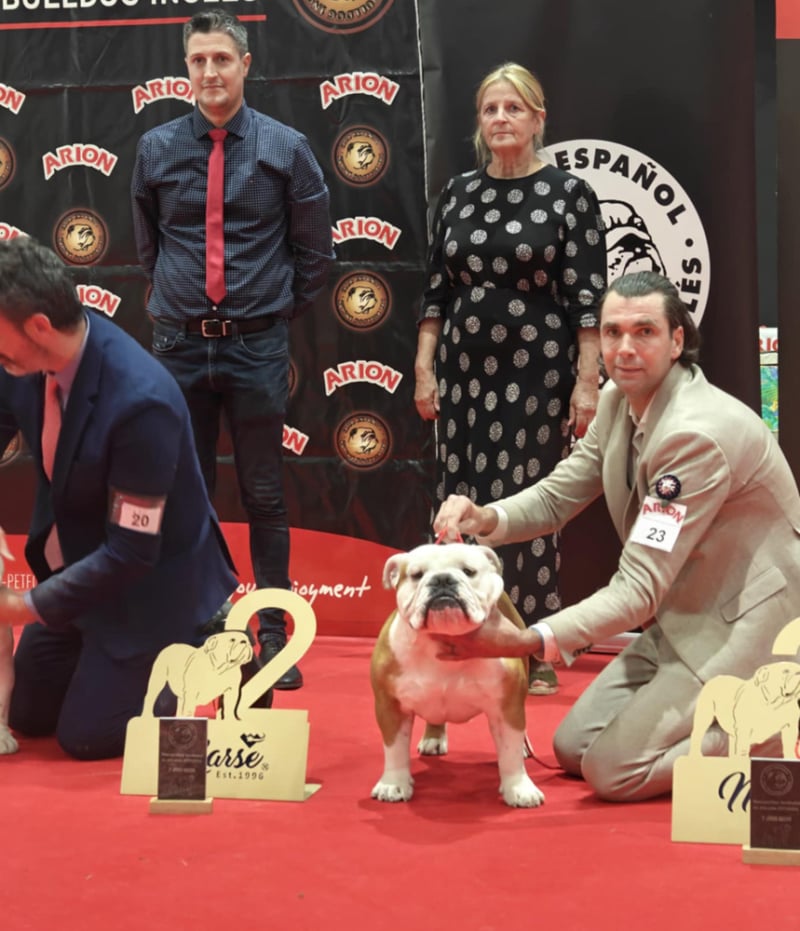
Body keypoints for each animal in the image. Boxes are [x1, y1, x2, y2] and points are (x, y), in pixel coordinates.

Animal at [370, 542, 544, 807]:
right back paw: (433, 738)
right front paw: (393, 784)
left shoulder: (506, 707)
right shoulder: (390, 706)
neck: (445, 639)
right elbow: (394, 749)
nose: (442, 579)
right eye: (416, 575)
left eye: (469, 571)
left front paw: (519, 788)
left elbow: (510, 753)